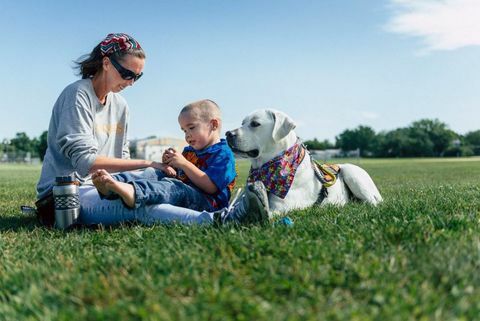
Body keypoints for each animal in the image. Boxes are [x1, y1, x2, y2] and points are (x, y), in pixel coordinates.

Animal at [225, 109, 382, 214]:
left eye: (255, 124)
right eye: (243, 123)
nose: (228, 134)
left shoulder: (281, 206)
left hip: (351, 173)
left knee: (372, 202)